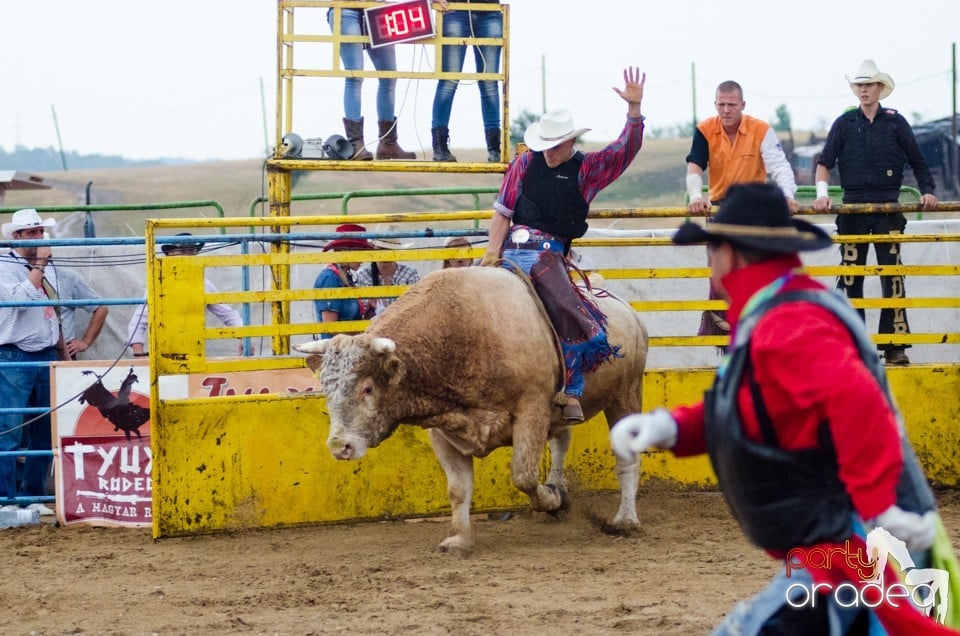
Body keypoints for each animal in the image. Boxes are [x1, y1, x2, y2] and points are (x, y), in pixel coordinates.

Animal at [296, 266, 648, 556]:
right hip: (563, 412)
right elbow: (458, 489)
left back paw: (625, 519)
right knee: (562, 440)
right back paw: (561, 487)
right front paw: (459, 540)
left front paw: (550, 499)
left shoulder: (532, 411)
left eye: (368, 388)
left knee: (627, 460)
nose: (340, 446)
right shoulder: (442, 429)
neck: (465, 331)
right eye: (326, 387)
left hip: (626, 394)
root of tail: (624, 307)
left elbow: (523, 476)